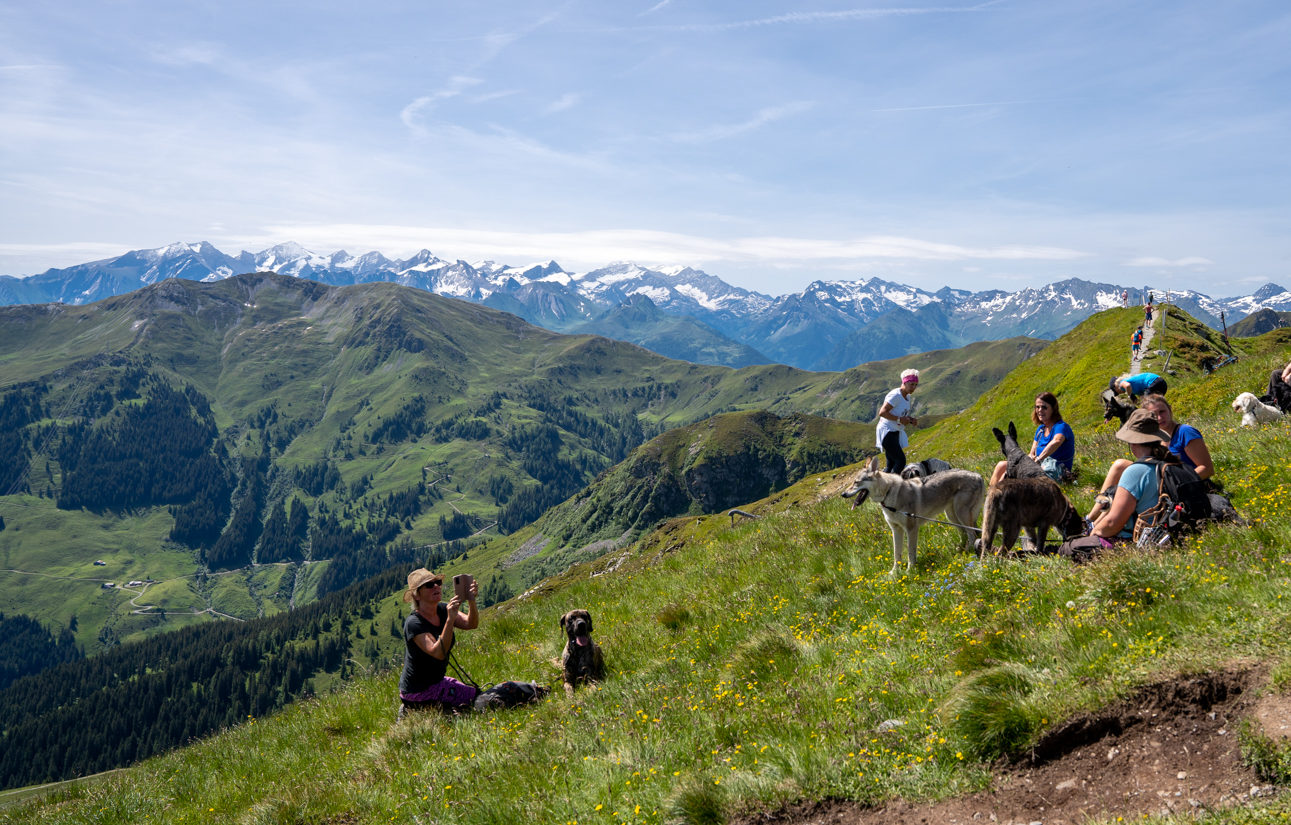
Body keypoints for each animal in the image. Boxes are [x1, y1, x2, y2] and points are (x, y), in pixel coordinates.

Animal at [841, 454, 981, 578]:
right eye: (852, 482)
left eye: (856, 482)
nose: (843, 494)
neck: (889, 493)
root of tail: (978, 476)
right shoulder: (896, 529)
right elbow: (896, 554)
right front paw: (894, 573)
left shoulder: (911, 529)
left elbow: (910, 553)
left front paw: (910, 571)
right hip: (951, 517)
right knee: (965, 533)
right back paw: (960, 550)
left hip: (961, 514)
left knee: (972, 534)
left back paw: (969, 552)